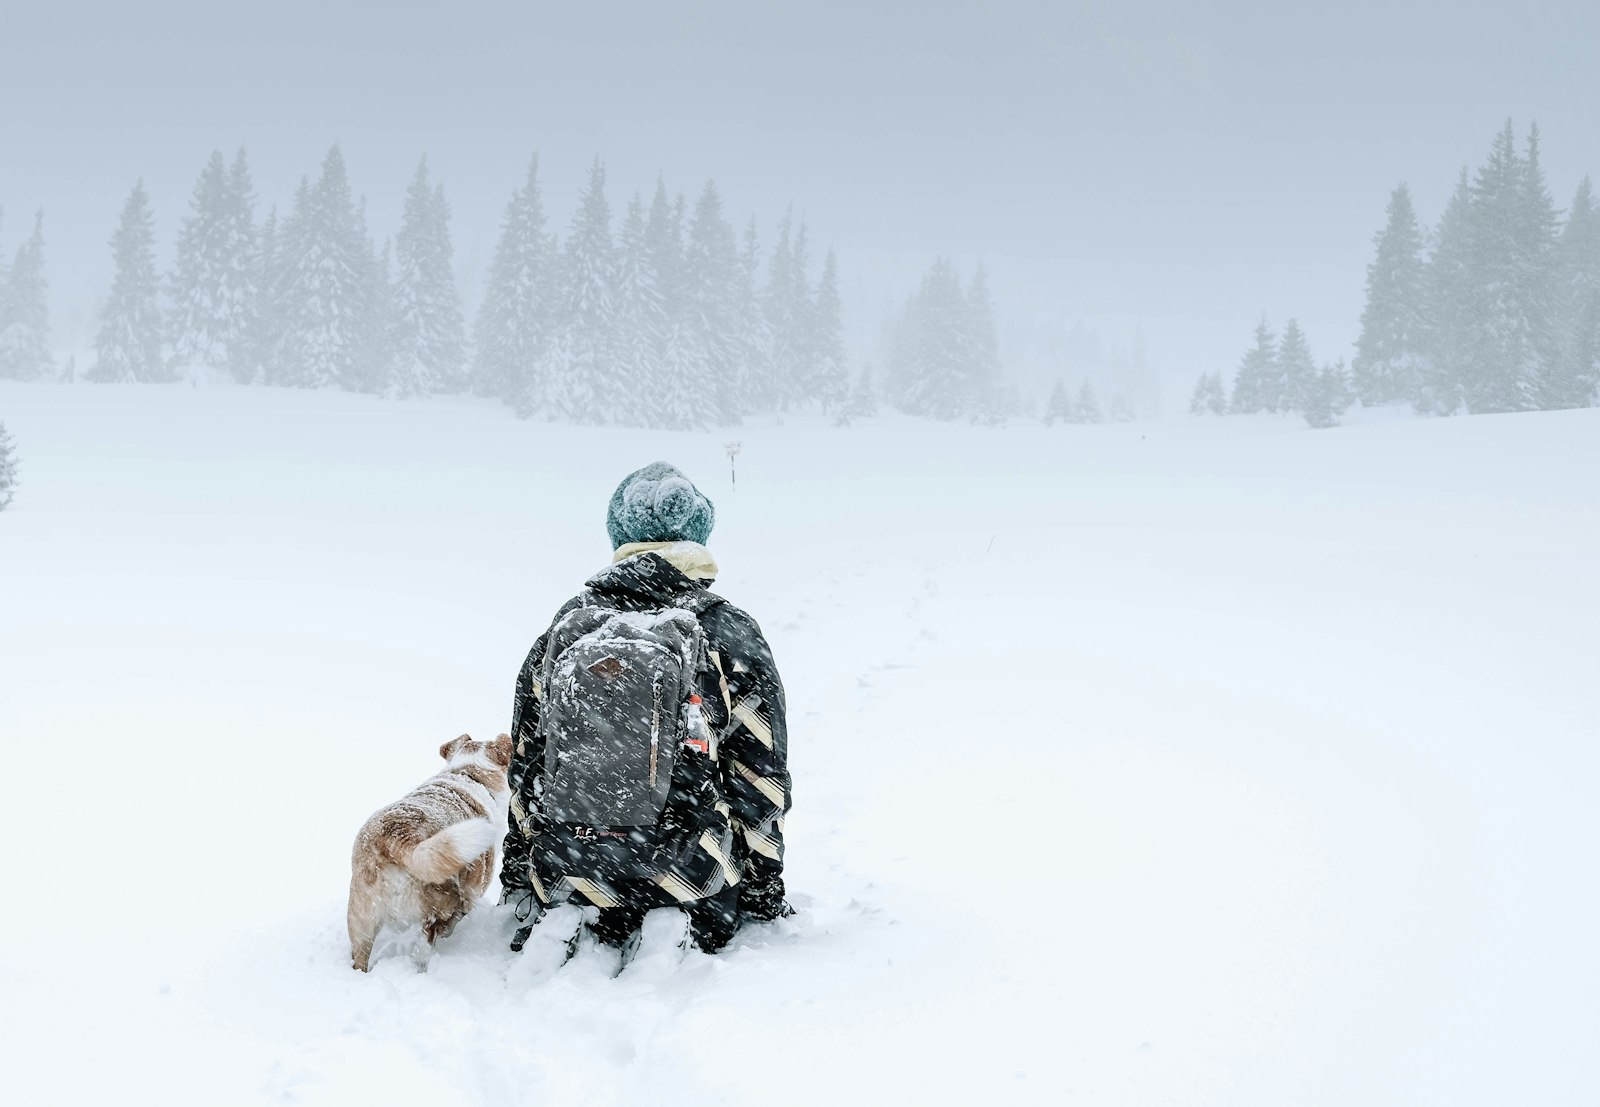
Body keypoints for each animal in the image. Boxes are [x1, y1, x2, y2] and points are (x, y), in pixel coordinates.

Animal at [350, 735, 512, 966]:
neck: (469, 774)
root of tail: (398, 838)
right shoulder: (473, 892)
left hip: (361, 921)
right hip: (440, 905)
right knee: (427, 943)